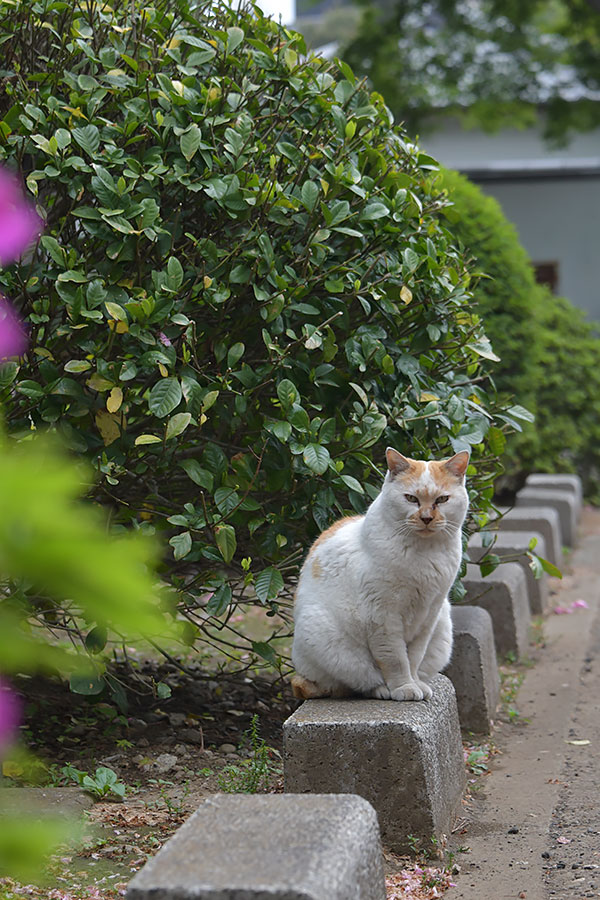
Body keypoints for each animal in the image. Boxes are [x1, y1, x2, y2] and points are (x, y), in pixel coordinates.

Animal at [290, 450, 468, 704]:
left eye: (442, 499)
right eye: (411, 499)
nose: (426, 518)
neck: (424, 553)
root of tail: (302, 676)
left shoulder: (429, 614)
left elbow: (414, 657)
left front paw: (415, 683)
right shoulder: (382, 617)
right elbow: (395, 660)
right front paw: (404, 687)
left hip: (443, 625)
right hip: (325, 636)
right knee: (358, 683)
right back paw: (384, 690)